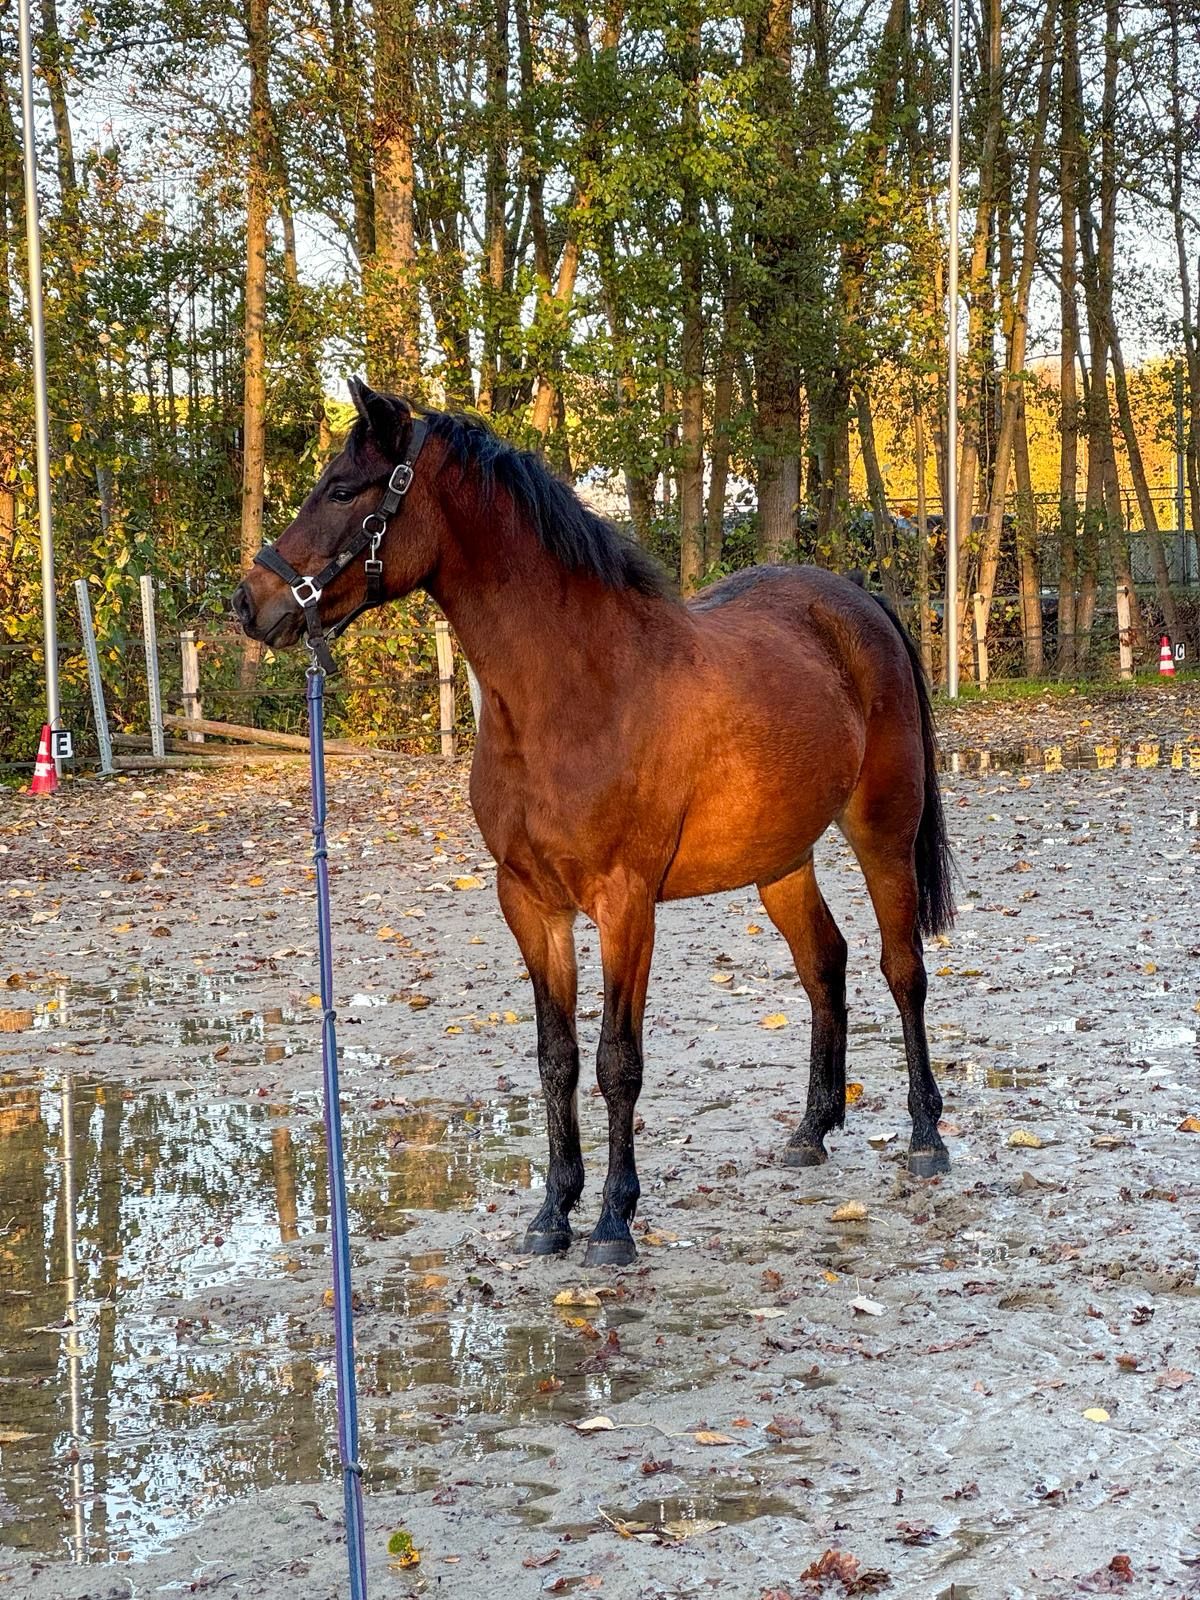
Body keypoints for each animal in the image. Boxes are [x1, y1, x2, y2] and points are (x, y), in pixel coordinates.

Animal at [232, 378, 955, 1268]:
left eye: (341, 489)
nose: (250, 602)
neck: (572, 692)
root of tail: (861, 601)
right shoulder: (529, 903)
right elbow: (556, 1059)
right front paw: (553, 1211)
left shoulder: (625, 904)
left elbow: (618, 1061)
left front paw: (613, 1219)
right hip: (780, 860)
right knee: (825, 965)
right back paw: (812, 1129)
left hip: (884, 831)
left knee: (902, 969)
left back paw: (926, 1136)